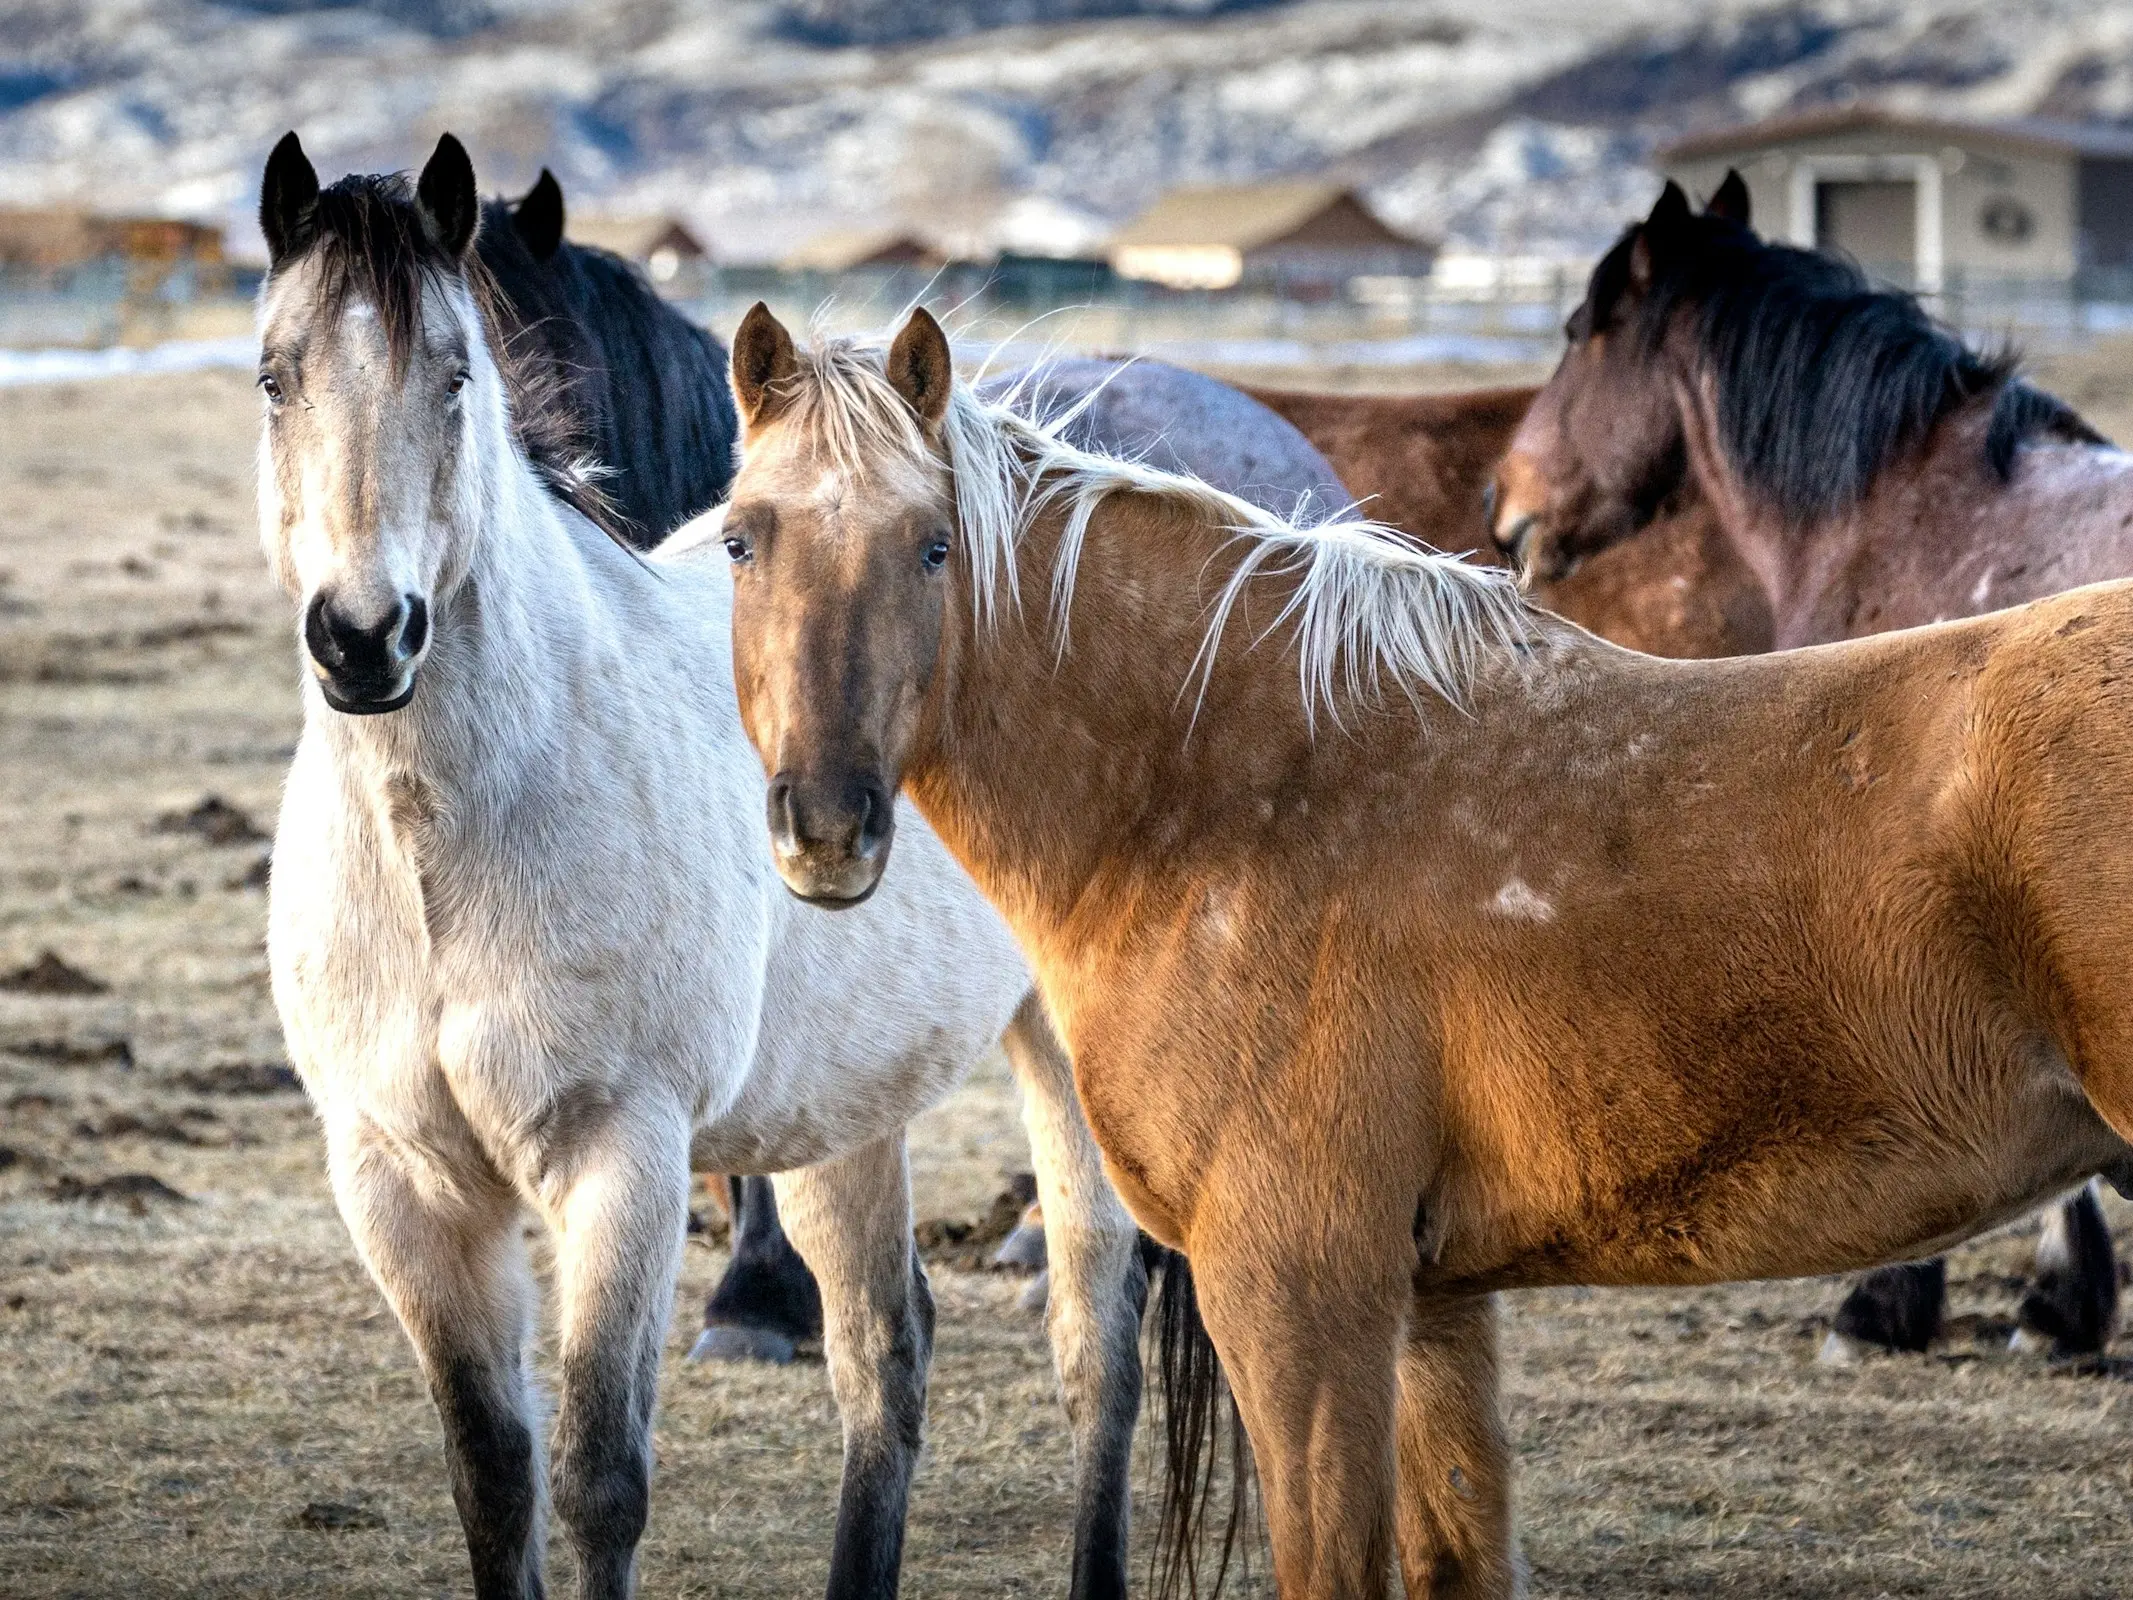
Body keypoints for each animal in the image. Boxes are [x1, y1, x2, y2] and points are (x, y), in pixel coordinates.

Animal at [258, 128, 1151, 1600]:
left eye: (455, 377)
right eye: (276, 375)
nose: (364, 638)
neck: (451, 850)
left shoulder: (622, 1157)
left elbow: (597, 1484)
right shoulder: (400, 1185)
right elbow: (491, 1480)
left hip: (1062, 1062)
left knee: (1099, 1347)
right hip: (844, 1105)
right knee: (884, 1361)